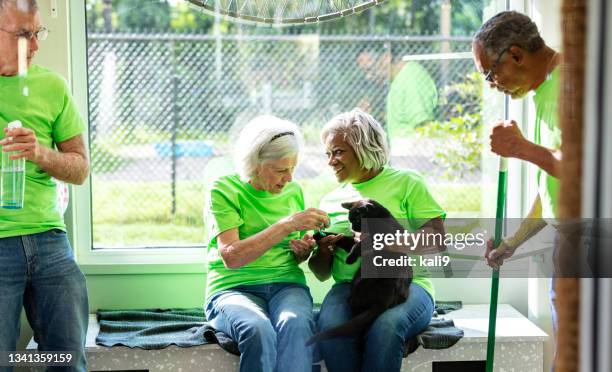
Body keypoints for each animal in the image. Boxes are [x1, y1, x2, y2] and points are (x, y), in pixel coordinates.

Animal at [308, 201, 414, 346]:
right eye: (350, 220)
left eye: (357, 220)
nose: (353, 227)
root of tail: (387, 297)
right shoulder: (353, 240)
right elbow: (340, 237)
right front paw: (319, 235)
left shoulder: (383, 238)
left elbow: (361, 244)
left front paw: (350, 258)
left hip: (359, 281)